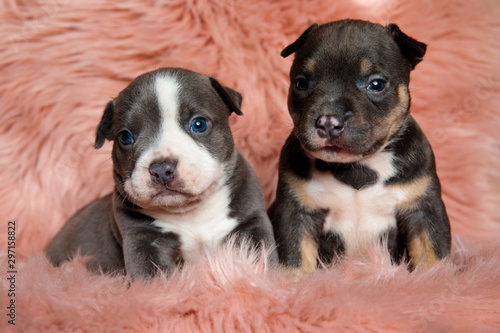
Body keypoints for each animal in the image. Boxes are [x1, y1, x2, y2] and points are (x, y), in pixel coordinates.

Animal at [47, 67, 280, 278]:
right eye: (125, 137)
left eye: (199, 124)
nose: (161, 169)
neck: (190, 212)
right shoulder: (144, 241)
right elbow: (154, 280)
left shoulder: (250, 226)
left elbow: (262, 259)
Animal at [272, 20, 452, 272]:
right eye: (300, 84)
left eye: (376, 85)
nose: (328, 121)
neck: (358, 166)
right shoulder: (297, 214)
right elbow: (296, 260)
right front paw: (296, 280)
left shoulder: (424, 211)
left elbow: (433, 255)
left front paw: (435, 278)